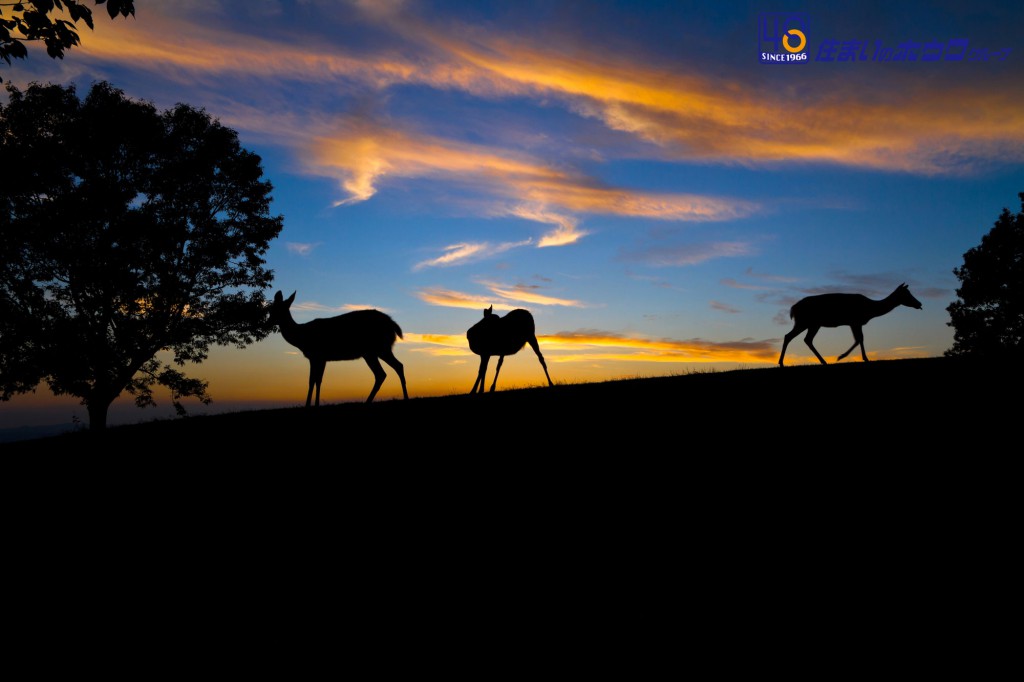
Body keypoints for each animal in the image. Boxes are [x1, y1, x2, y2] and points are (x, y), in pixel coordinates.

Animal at [270, 290, 409, 405]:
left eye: (274, 309)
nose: (268, 322)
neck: (301, 338)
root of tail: (393, 324)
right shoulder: (321, 358)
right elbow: (317, 380)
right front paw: (315, 404)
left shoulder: (316, 356)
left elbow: (312, 380)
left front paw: (309, 405)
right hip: (375, 351)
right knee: (392, 368)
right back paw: (400, 398)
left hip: (378, 348)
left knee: (386, 371)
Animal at [778, 280, 925, 366]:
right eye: (907, 294)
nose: (919, 304)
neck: (870, 310)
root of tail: (793, 309)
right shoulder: (855, 321)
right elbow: (859, 338)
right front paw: (845, 357)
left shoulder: (853, 323)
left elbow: (858, 338)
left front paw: (855, 357)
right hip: (806, 322)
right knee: (792, 337)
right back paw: (783, 362)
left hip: (812, 324)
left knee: (803, 339)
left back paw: (822, 361)